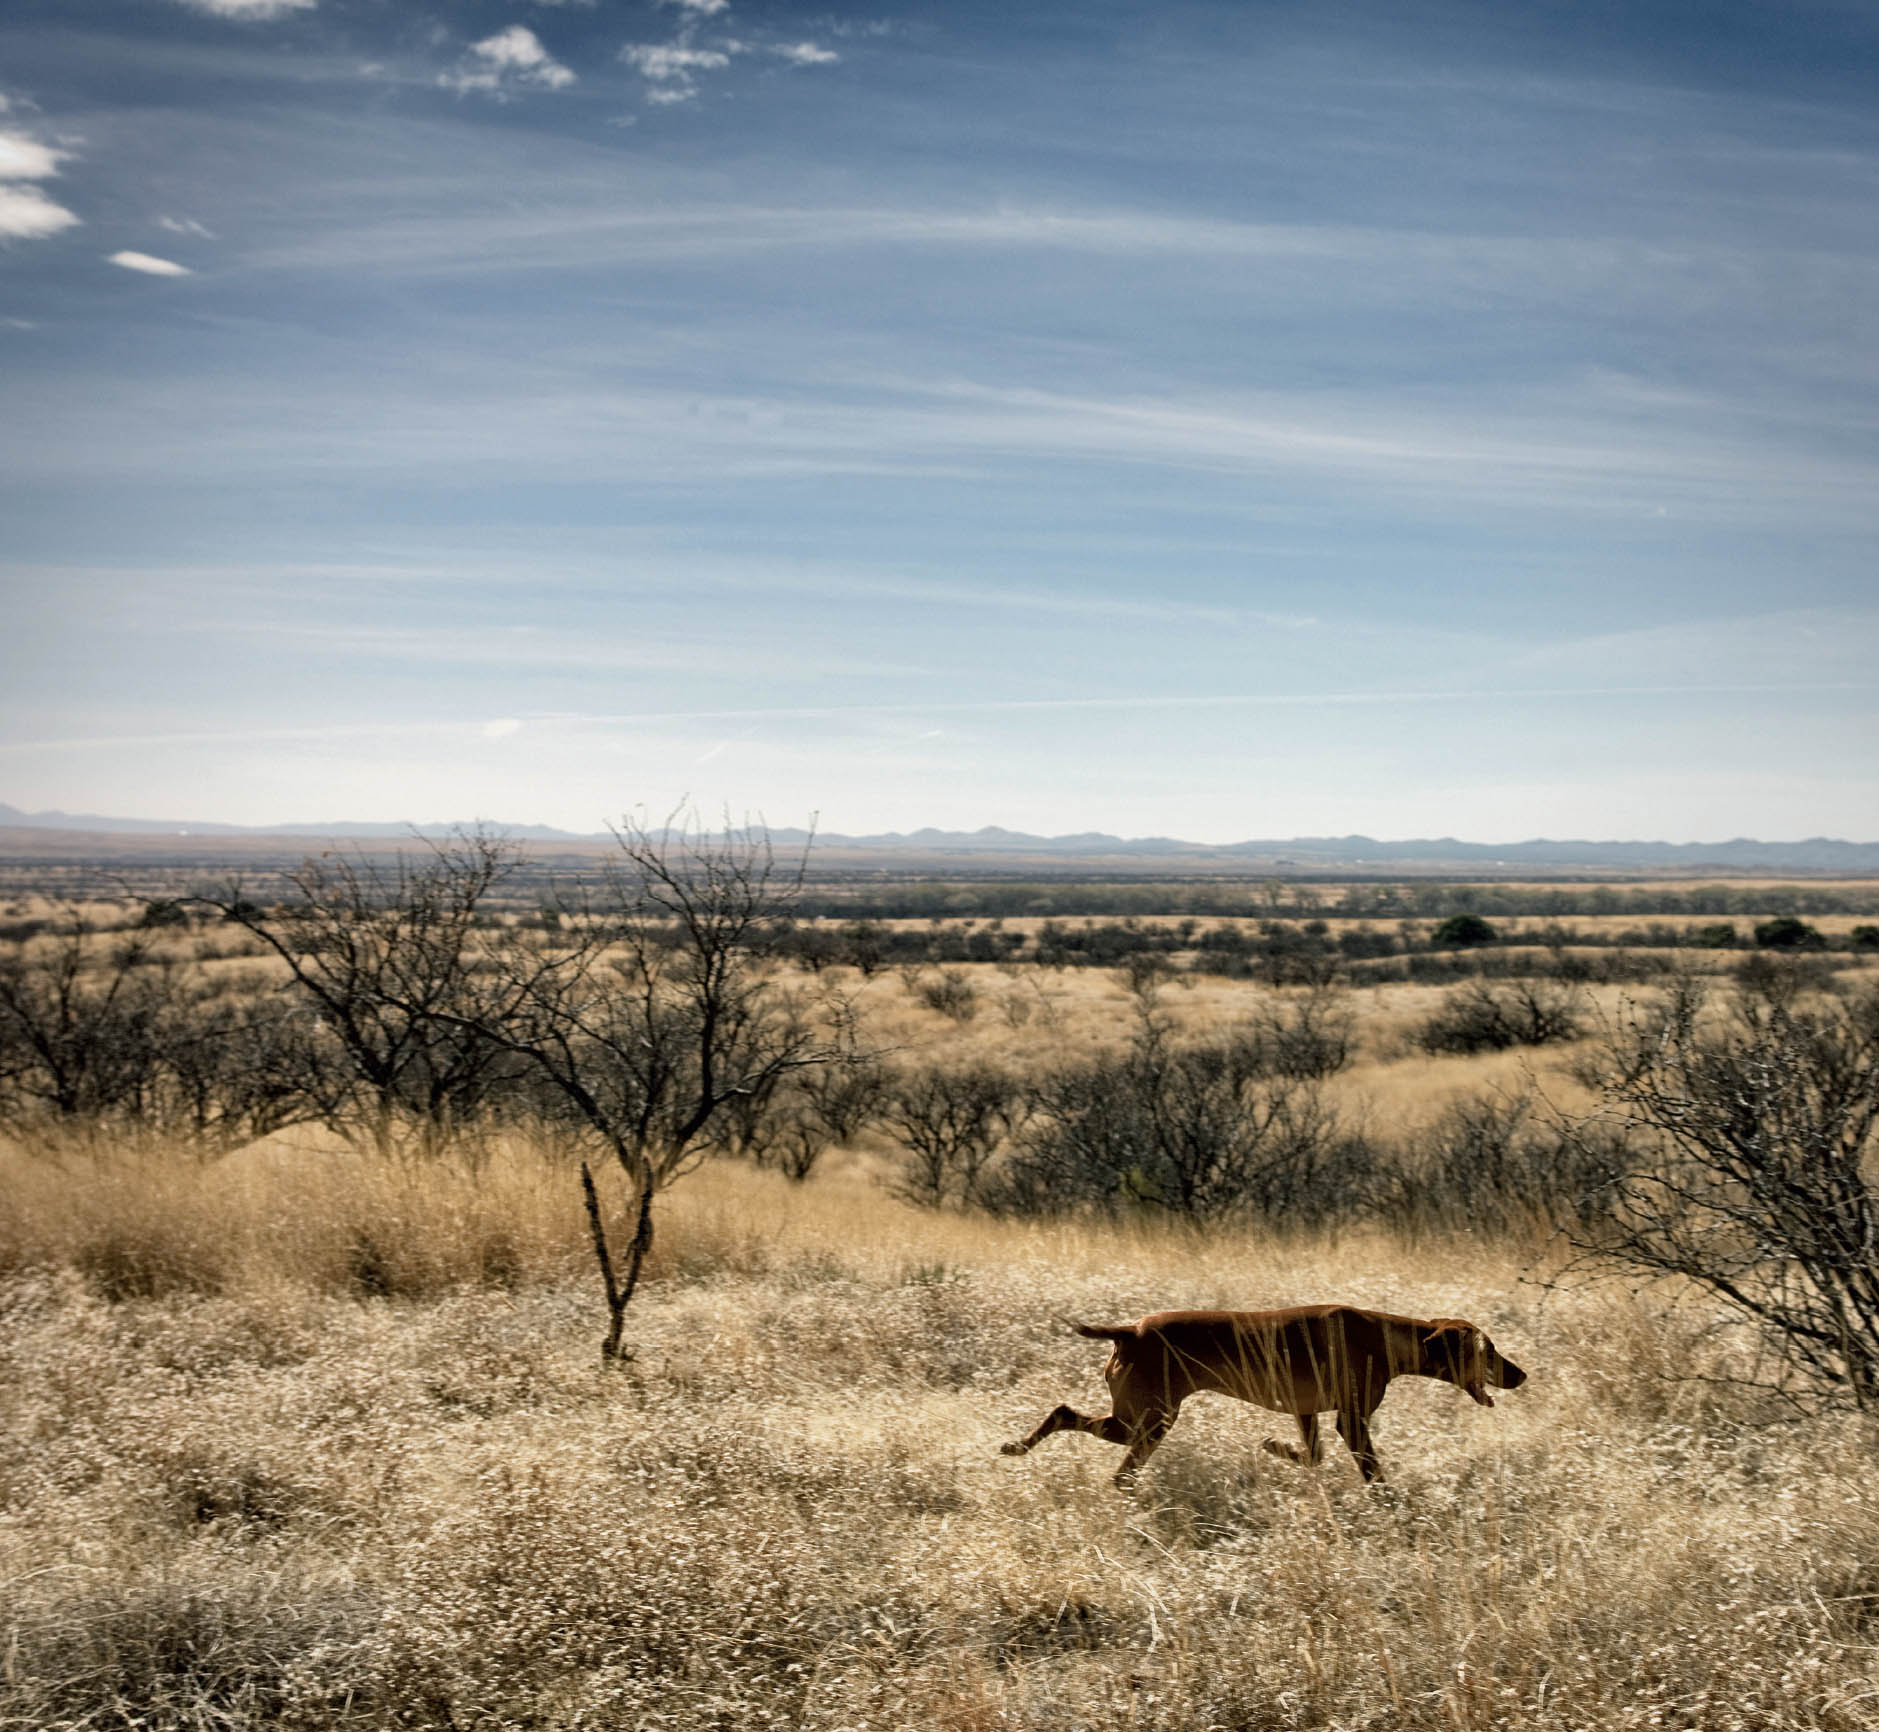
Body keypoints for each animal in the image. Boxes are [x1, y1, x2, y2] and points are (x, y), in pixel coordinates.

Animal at [1007, 1299, 1518, 1480]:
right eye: (1489, 1350)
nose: (1522, 1375)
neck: (1382, 1337)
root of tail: (1131, 1330)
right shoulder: (1352, 1421)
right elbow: (1374, 1473)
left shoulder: (1306, 1413)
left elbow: (1310, 1455)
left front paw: (1274, 1447)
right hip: (1148, 1422)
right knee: (1097, 1448)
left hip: (1138, 1421)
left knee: (1066, 1415)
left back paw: (1018, 1447)